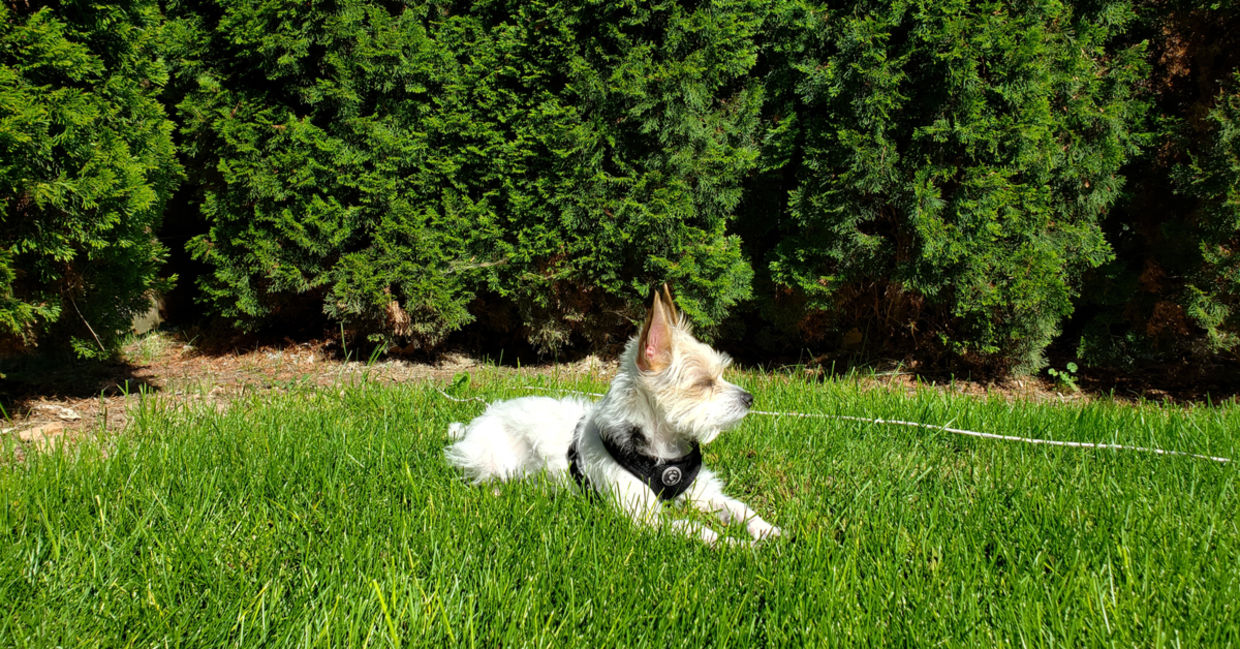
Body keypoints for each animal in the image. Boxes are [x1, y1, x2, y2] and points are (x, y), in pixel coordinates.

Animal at [446, 286, 778, 546]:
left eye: (720, 375)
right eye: (704, 383)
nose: (749, 399)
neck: (662, 447)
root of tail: (482, 417)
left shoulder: (699, 491)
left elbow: (738, 508)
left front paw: (765, 530)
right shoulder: (644, 517)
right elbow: (696, 530)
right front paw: (736, 545)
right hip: (491, 459)